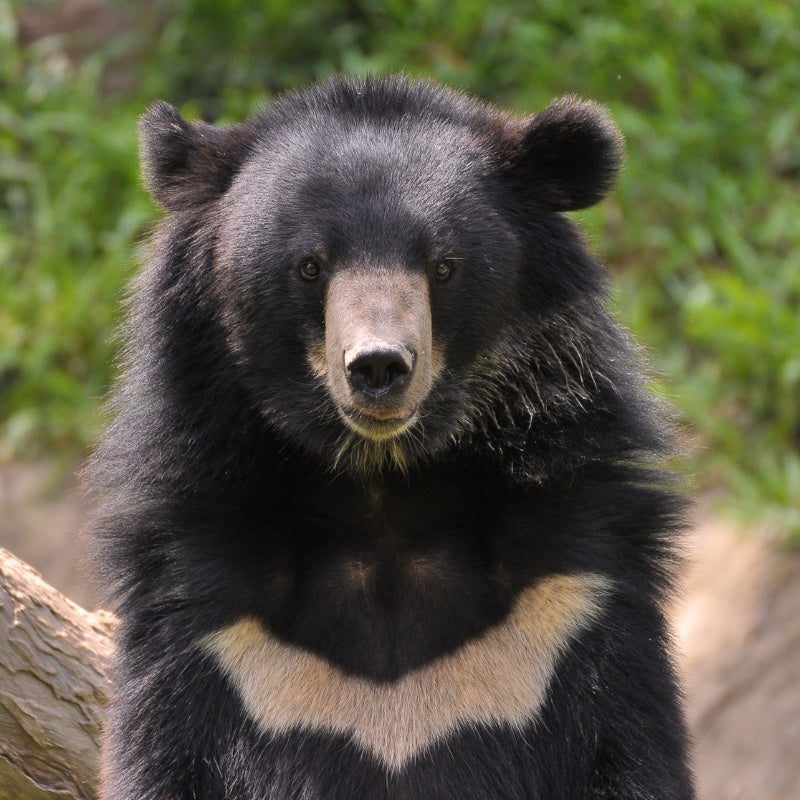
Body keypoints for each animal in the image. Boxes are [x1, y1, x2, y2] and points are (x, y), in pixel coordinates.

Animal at [89, 75, 695, 799]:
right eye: (310, 266)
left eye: (443, 266)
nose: (379, 367)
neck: (382, 486)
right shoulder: (202, 620)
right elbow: (160, 757)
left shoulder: (576, 595)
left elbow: (629, 747)